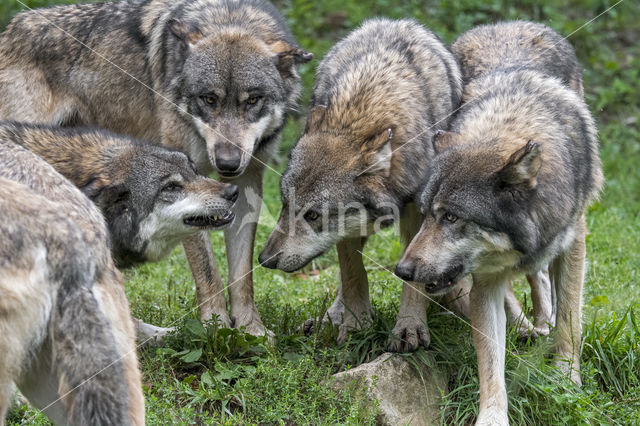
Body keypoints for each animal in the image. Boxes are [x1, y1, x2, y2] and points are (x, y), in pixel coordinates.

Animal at [0, 0, 312, 334]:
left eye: (253, 100)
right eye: (208, 99)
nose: (228, 164)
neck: (230, 18)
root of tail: (12, 27)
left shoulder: (247, 183)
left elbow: (242, 275)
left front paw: (250, 329)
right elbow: (208, 272)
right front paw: (215, 328)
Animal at [258, 18, 468, 352]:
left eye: (313, 215)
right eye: (285, 203)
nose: (265, 260)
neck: (362, 110)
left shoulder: (420, 214)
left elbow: (412, 278)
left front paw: (409, 327)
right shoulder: (346, 231)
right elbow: (353, 274)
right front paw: (356, 327)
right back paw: (330, 318)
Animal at [452, 21, 588, 338]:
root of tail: (500, 24)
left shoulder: (574, 238)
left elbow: (569, 320)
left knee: (540, 277)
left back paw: (540, 322)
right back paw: (530, 326)